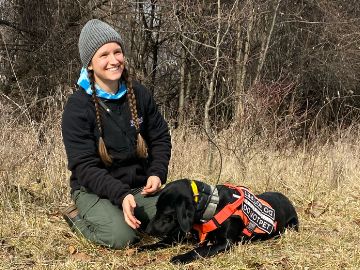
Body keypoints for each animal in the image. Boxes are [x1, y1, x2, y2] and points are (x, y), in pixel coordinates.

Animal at [143, 179, 298, 264]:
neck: (211, 205)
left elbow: (199, 250)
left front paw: (180, 258)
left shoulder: (226, 243)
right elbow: (165, 241)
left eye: (166, 213)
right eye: (156, 208)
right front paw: (145, 247)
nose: (147, 230)